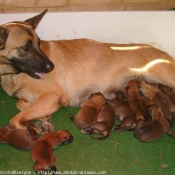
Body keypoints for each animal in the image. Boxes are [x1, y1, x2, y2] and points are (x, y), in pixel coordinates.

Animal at [1, 9, 175, 131]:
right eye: (25, 47)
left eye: (39, 43)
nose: (51, 66)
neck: (12, 75)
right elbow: (21, 104)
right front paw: (43, 117)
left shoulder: (53, 95)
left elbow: (14, 119)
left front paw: (33, 126)